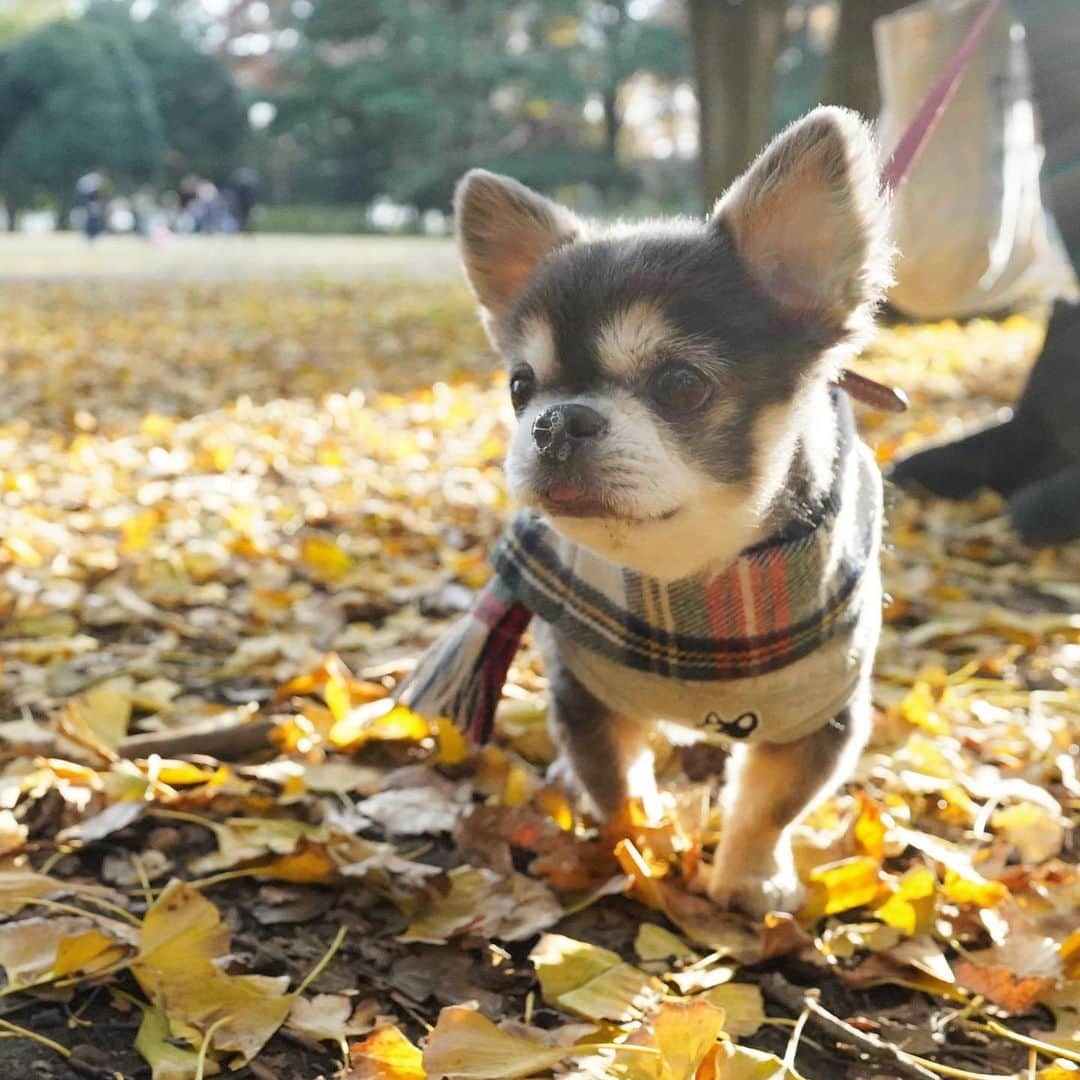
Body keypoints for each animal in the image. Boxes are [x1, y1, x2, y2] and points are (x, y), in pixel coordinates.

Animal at [451, 107, 889, 911]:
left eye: (682, 384)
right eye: (521, 387)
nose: (556, 423)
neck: (692, 585)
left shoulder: (824, 714)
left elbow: (771, 805)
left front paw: (750, 878)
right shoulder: (585, 694)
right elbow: (617, 787)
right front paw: (644, 851)